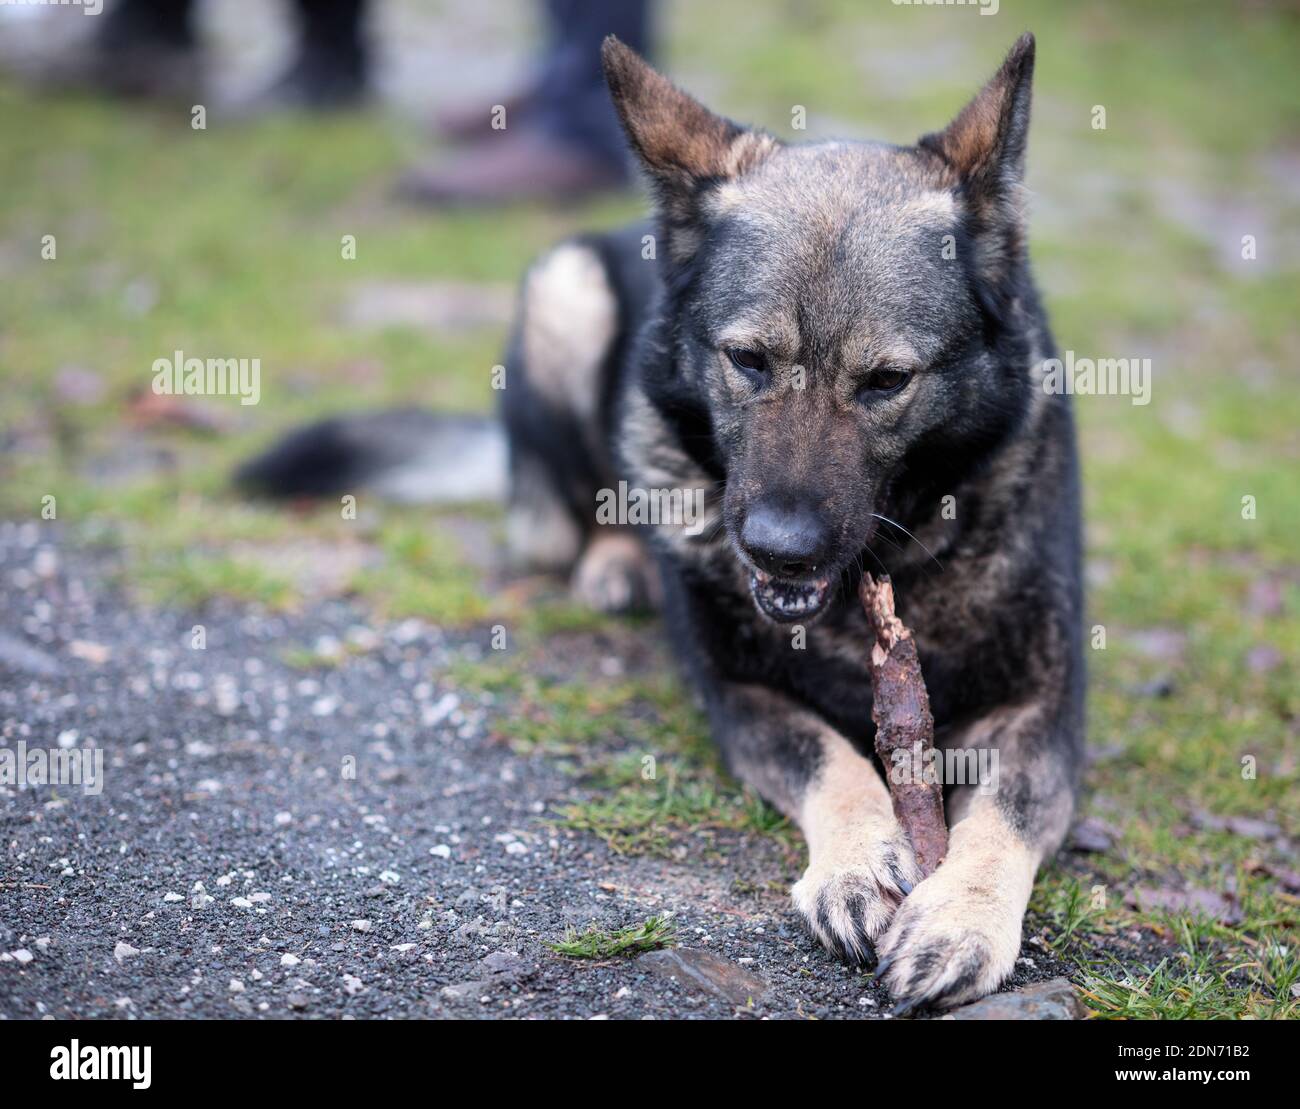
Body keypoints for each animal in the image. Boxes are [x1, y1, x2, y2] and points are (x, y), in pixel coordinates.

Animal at [239, 32, 1081, 1014]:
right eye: (748, 360)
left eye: (886, 382)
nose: (780, 550)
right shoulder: (739, 696)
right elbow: (834, 762)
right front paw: (855, 866)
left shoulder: (1045, 710)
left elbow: (1005, 809)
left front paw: (960, 918)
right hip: (563, 299)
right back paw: (616, 564)